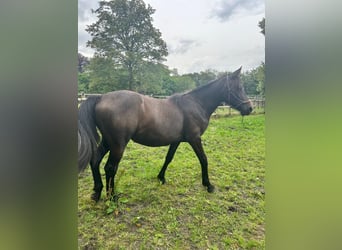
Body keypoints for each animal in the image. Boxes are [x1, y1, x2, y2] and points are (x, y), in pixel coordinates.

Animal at [79, 67, 252, 201]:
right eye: (239, 88)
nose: (249, 108)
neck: (196, 104)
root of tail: (101, 97)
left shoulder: (176, 140)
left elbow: (168, 158)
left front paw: (161, 177)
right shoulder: (194, 139)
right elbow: (203, 159)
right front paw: (208, 185)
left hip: (108, 141)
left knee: (95, 160)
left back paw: (97, 192)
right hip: (118, 144)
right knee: (110, 168)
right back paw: (112, 197)